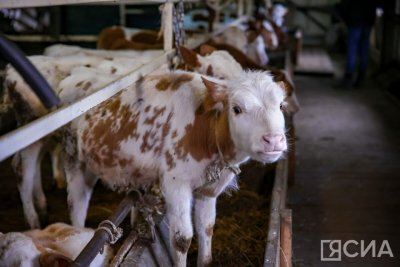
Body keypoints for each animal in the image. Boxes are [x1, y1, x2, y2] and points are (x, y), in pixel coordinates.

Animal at [62, 67, 288, 267]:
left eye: (281, 106)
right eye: (237, 109)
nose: (274, 140)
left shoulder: (209, 190)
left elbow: (207, 228)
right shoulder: (175, 183)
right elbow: (182, 239)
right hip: (73, 158)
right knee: (77, 204)